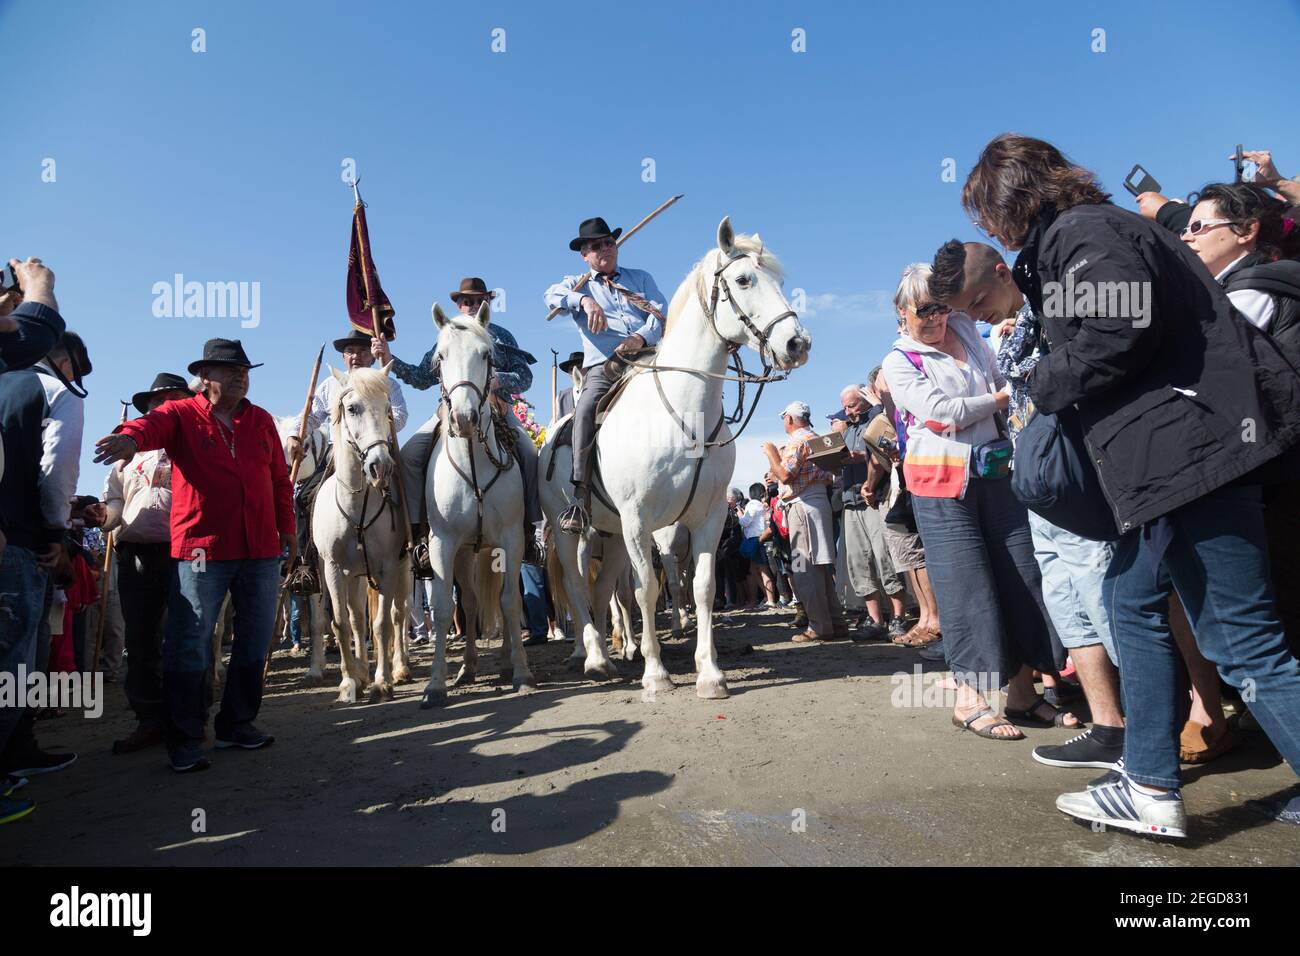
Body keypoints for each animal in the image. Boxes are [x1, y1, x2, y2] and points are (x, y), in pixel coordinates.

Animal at [306, 366, 408, 702]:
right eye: (352, 408)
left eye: (387, 408)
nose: (381, 466)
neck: (357, 507)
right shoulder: (334, 569)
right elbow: (341, 623)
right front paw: (350, 681)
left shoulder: (387, 566)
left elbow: (382, 624)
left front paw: (382, 681)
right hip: (356, 577)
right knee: (356, 619)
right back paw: (361, 671)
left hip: (402, 569)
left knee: (399, 615)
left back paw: (400, 668)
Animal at [421, 304, 533, 712]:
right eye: (440, 358)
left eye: (487, 356)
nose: (464, 419)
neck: (473, 462)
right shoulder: (443, 544)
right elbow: (443, 609)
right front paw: (435, 686)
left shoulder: (512, 540)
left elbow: (510, 602)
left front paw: (521, 673)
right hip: (467, 552)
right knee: (469, 603)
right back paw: (467, 668)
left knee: (501, 599)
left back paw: (507, 661)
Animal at [540, 218, 806, 697]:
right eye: (744, 280)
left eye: (778, 282)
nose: (797, 343)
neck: (685, 412)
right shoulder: (639, 521)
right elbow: (647, 590)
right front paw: (656, 673)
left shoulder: (709, 518)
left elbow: (700, 588)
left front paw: (710, 672)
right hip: (571, 530)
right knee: (576, 585)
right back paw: (592, 657)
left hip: (609, 536)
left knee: (603, 590)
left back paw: (610, 653)